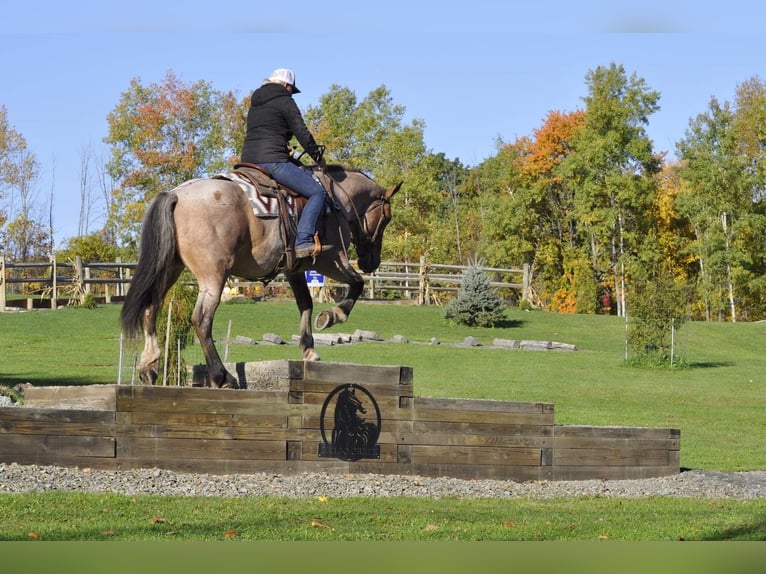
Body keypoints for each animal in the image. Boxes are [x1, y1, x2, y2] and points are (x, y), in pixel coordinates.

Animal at [119, 168, 402, 392]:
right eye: (386, 218)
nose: (371, 262)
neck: (335, 199)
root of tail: (176, 194)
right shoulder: (329, 259)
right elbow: (356, 284)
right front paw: (332, 316)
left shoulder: (295, 269)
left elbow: (306, 304)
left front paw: (309, 349)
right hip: (214, 274)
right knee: (201, 320)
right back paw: (222, 376)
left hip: (170, 269)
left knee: (151, 309)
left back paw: (149, 366)